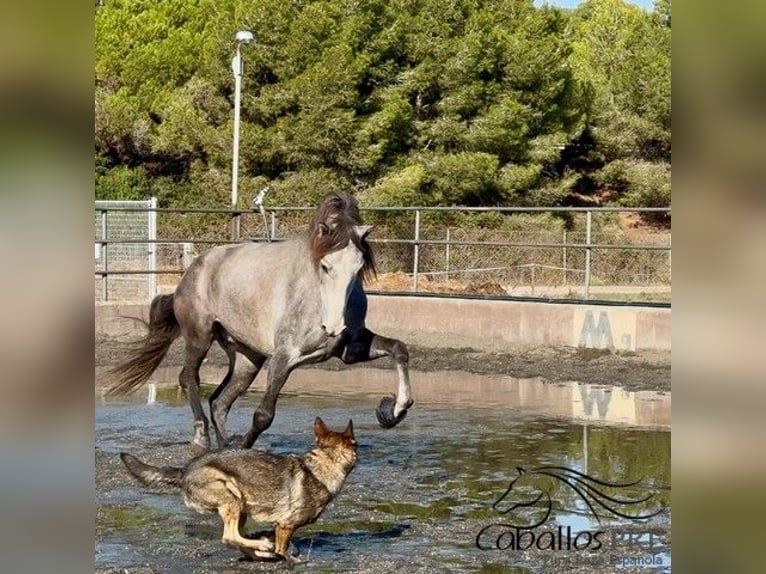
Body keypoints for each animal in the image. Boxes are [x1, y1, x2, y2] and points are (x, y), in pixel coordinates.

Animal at [106, 193, 414, 451]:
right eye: (326, 266)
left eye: (359, 267)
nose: (333, 327)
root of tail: (193, 269)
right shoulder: (284, 357)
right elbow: (264, 415)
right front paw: (243, 449)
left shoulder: (350, 349)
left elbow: (399, 348)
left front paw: (393, 410)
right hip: (199, 336)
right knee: (189, 379)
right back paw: (201, 439)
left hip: (247, 358)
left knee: (219, 400)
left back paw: (223, 442)